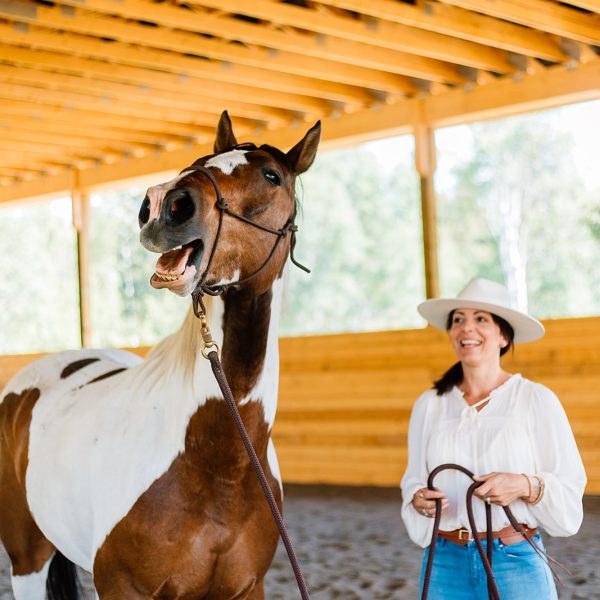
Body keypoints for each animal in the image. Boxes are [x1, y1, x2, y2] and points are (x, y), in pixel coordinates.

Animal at [0, 113, 322, 600]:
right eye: (200, 161)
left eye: (272, 176)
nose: (165, 204)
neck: (220, 460)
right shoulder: (122, 587)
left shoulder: (248, 587)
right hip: (27, 562)